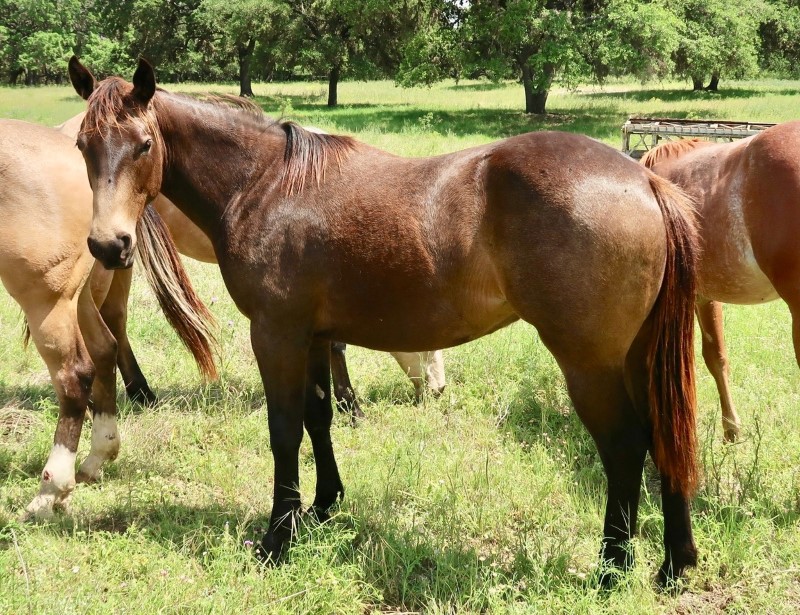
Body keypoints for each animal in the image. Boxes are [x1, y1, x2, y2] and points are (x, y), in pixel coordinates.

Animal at [0, 118, 217, 516]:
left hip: (47, 298)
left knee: (75, 373)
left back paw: (51, 489)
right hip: (82, 293)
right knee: (105, 347)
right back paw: (100, 451)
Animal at [69, 60, 700, 584]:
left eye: (144, 144)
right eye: (82, 145)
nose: (108, 245)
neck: (265, 184)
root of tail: (645, 181)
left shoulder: (276, 334)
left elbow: (284, 431)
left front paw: (278, 538)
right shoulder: (314, 336)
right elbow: (319, 418)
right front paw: (323, 508)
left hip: (588, 363)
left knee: (624, 446)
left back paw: (613, 569)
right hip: (636, 357)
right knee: (664, 438)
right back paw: (674, 564)